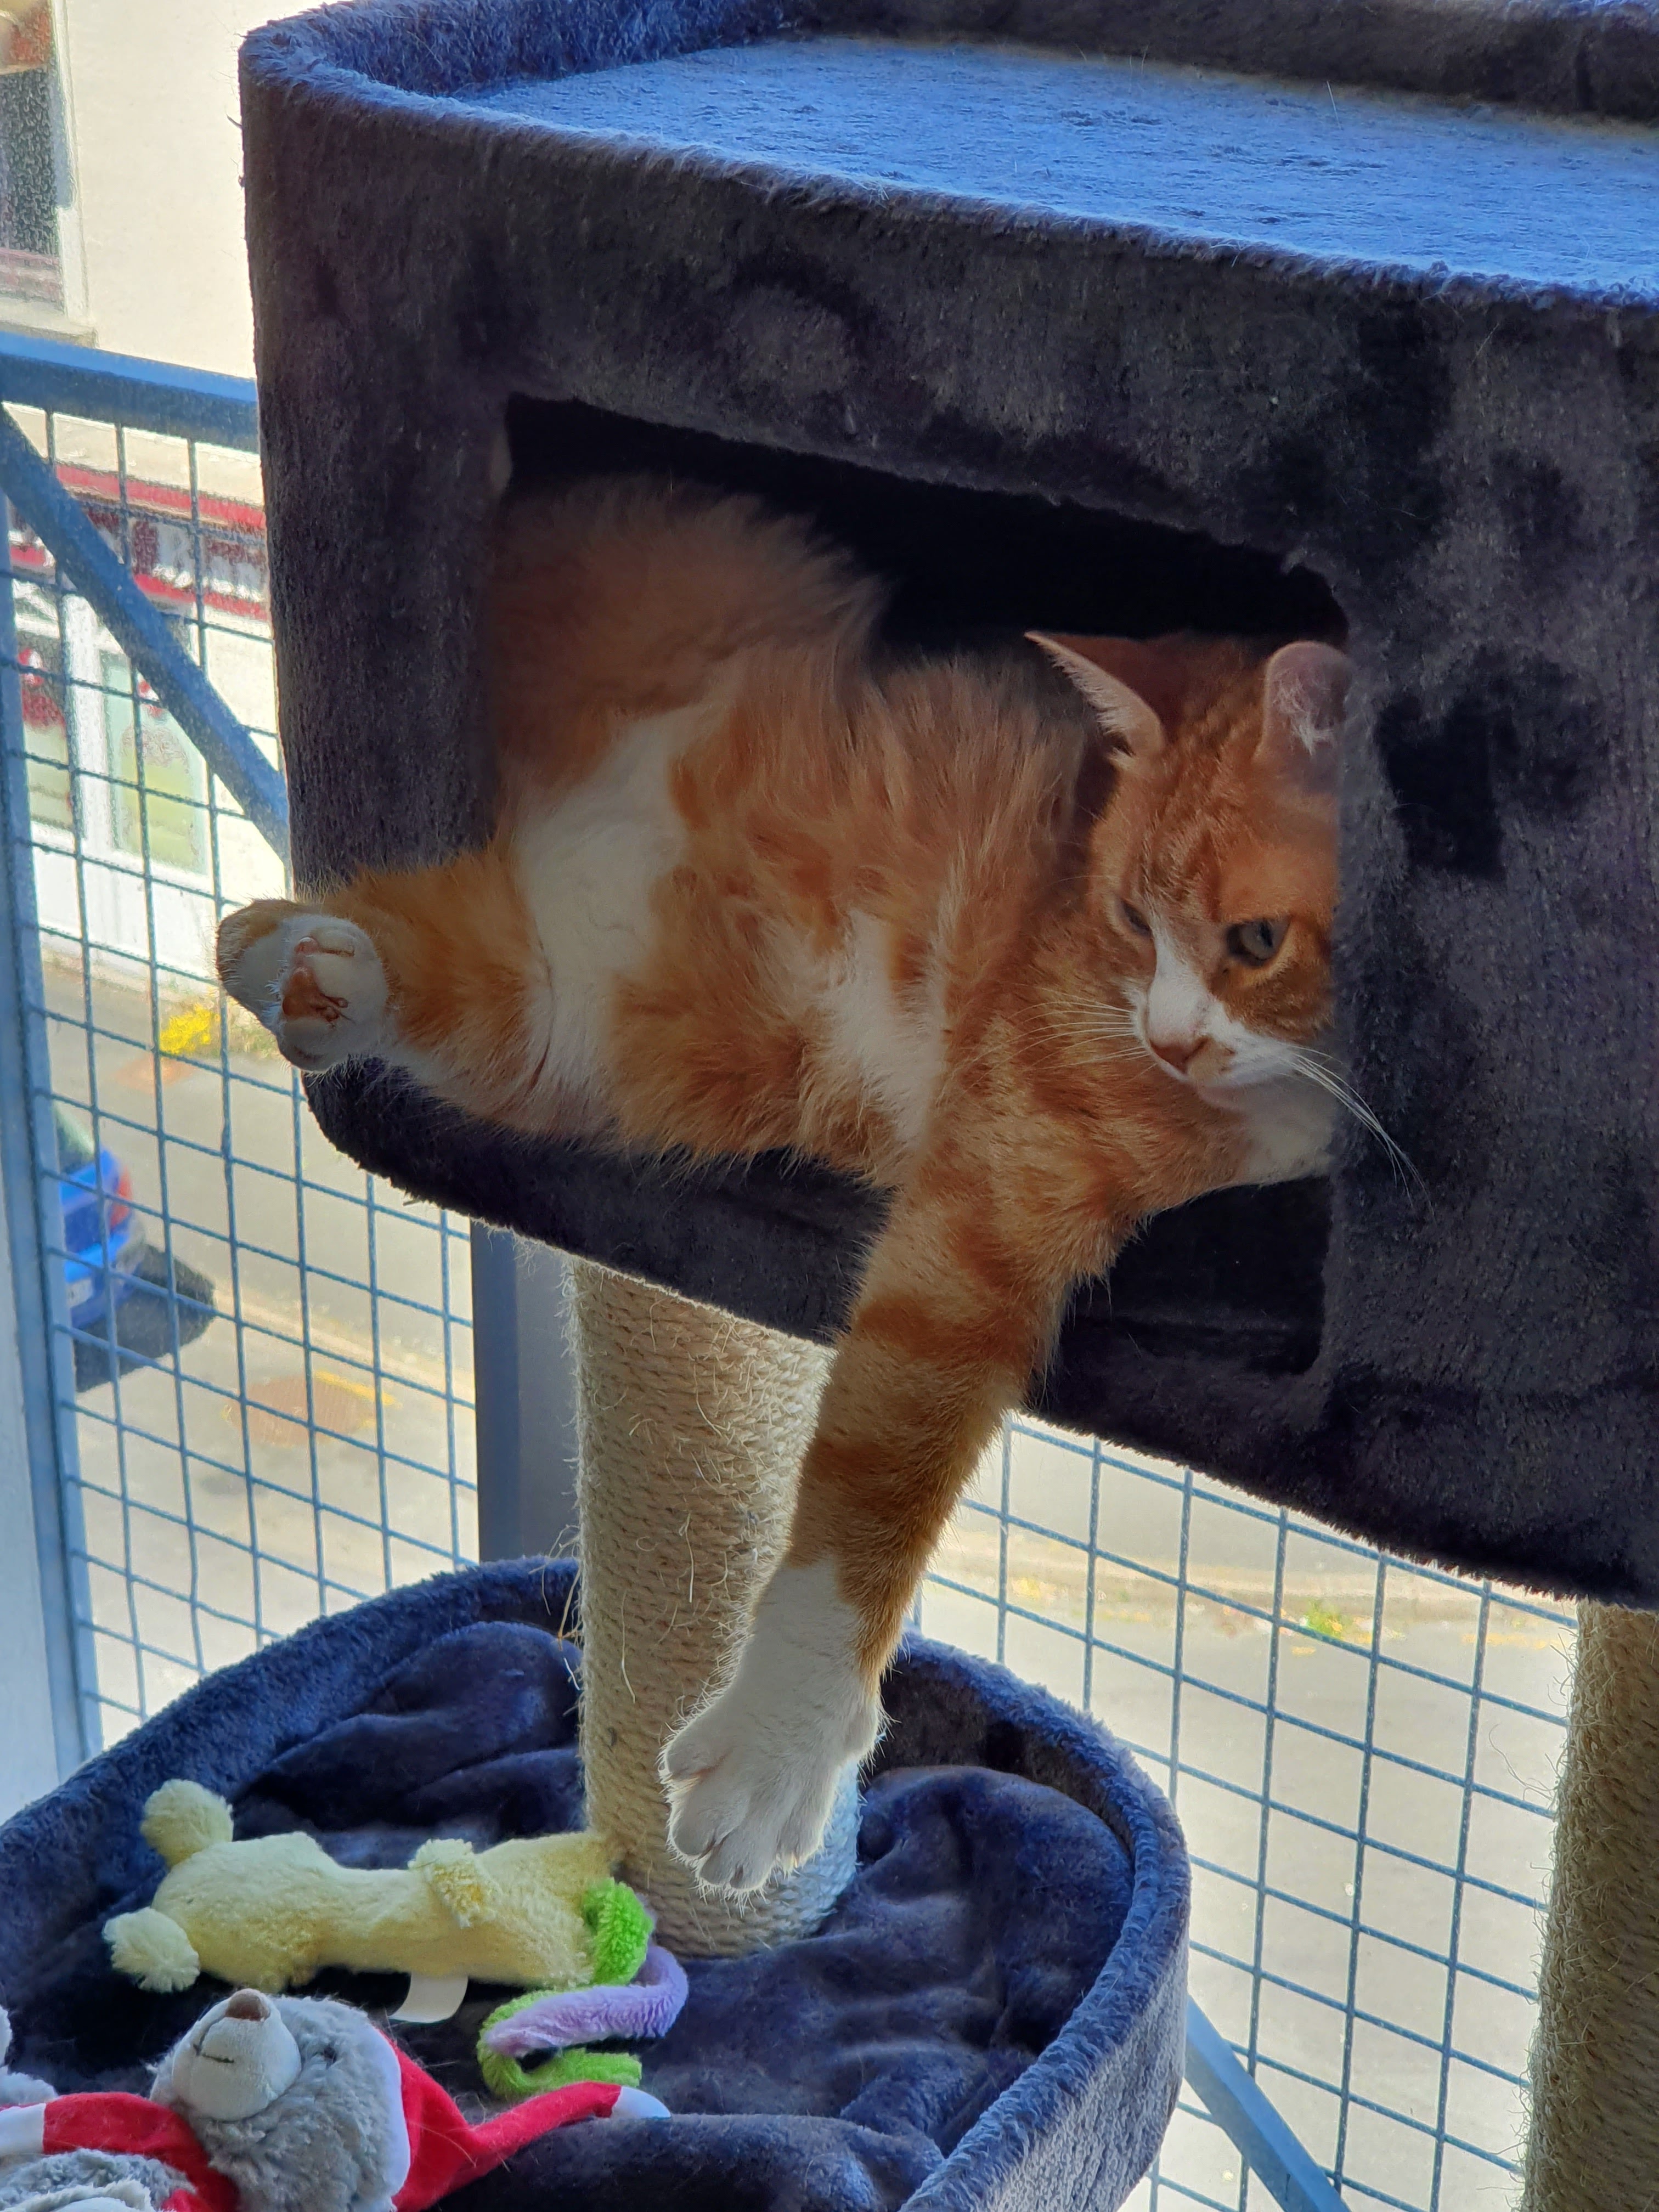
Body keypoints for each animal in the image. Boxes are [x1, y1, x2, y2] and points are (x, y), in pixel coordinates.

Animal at [217, 475, 1347, 1895]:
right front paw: (785, 1740)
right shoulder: (996, 1196)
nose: (1171, 1038)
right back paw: (300, 957)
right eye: (1138, 921)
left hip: (569, 1015)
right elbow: (871, 1491)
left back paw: (313, 966)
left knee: (480, 986)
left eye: (1252, 941)